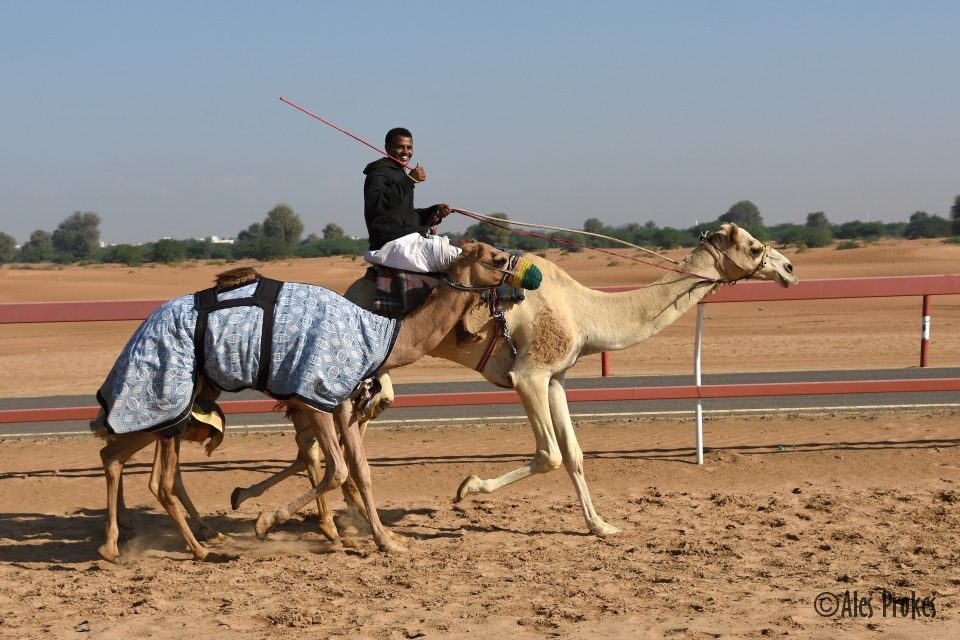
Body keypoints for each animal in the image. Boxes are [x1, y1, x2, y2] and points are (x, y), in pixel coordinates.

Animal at [90, 242, 540, 564]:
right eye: (497, 258)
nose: (528, 279)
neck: (382, 336)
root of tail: (142, 327)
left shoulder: (340, 402)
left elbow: (360, 470)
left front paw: (388, 540)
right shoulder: (316, 395)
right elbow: (336, 469)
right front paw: (266, 521)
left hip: (176, 402)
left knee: (118, 453)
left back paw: (118, 546)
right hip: (168, 391)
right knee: (157, 476)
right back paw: (197, 548)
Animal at [234, 222, 804, 536]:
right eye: (754, 248)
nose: (790, 269)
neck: (583, 309)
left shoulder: (555, 379)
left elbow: (573, 453)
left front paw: (601, 525)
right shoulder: (527, 375)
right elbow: (548, 454)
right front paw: (466, 487)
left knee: (331, 425)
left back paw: (293, 505)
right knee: (335, 419)